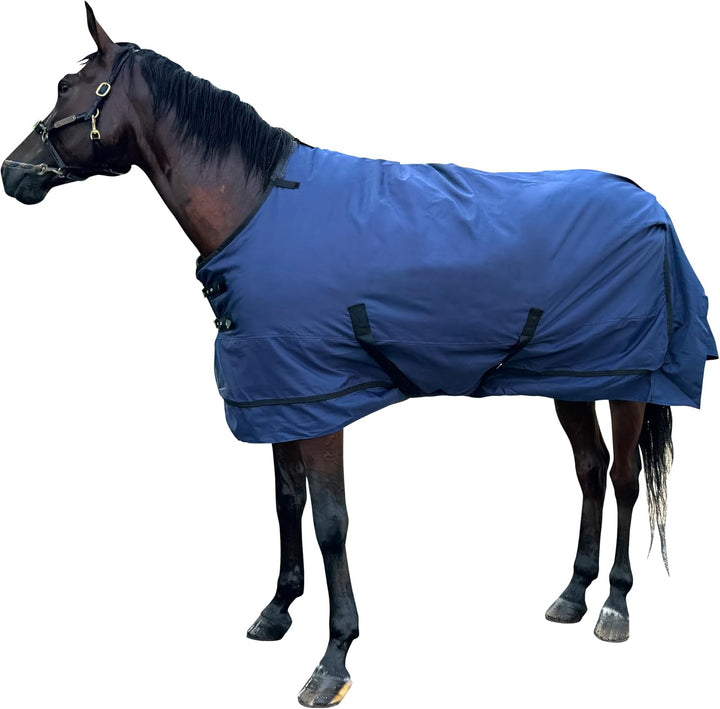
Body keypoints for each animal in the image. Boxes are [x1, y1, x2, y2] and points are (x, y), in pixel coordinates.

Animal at [2, 5, 716, 707]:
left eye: (66, 86)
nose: (13, 173)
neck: (256, 208)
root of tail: (649, 202)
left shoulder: (322, 401)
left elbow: (331, 524)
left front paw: (333, 659)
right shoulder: (279, 398)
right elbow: (286, 503)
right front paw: (277, 610)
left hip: (629, 379)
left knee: (624, 479)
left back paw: (615, 606)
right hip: (571, 377)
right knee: (590, 470)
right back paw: (572, 595)